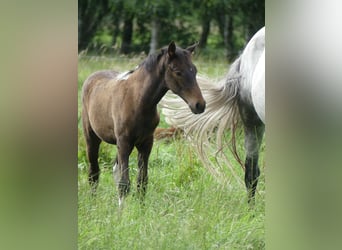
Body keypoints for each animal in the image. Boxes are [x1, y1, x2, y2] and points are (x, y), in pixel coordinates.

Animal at [82, 41, 206, 205]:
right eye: (177, 71)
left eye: (195, 70)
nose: (200, 105)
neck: (138, 100)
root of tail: (92, 77)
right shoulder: (124, 142)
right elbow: (124, 183)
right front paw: (122, 212)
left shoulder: (146, 143)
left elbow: (142, 182)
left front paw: (141, 209)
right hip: (92, 137)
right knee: (94, 172)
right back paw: (93, 201)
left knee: (114, 169)